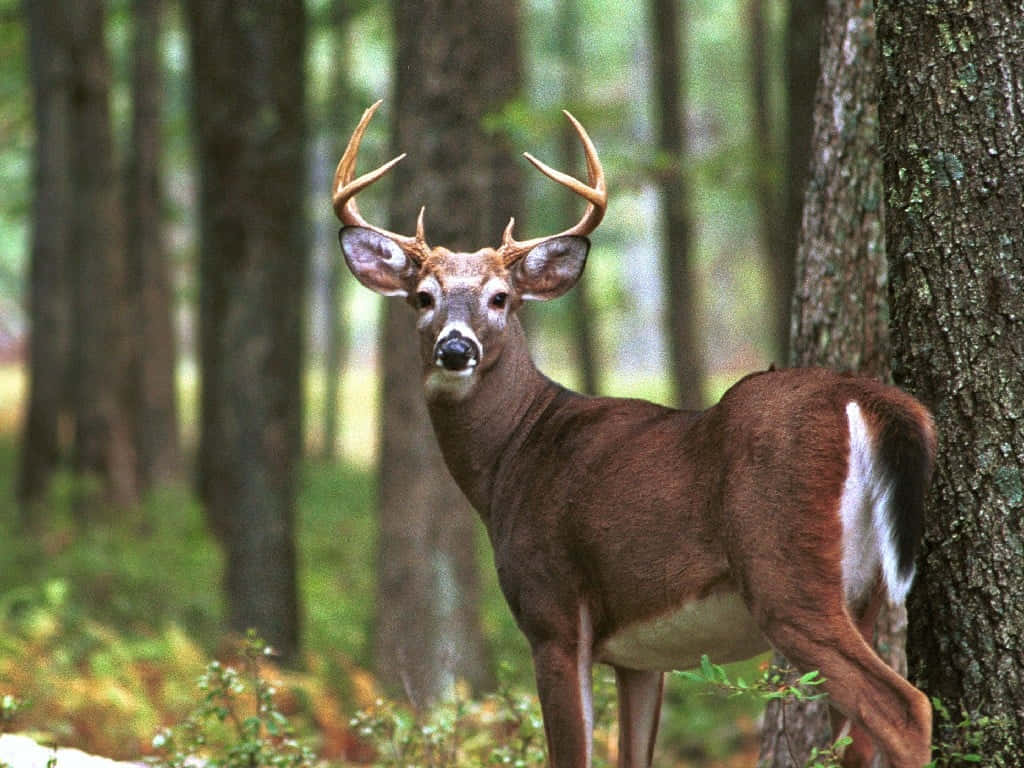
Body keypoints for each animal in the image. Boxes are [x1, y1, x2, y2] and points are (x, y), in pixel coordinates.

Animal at [332, 101, 935, 768]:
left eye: (500, 298)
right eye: (422, 297)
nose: (456, 348)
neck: (514, 456)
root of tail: (865, 397)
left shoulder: (552, 611)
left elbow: (570, 753)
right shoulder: (640, 657)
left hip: (787, 569)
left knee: (905, 707)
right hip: (865, 592)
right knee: (860, 734)